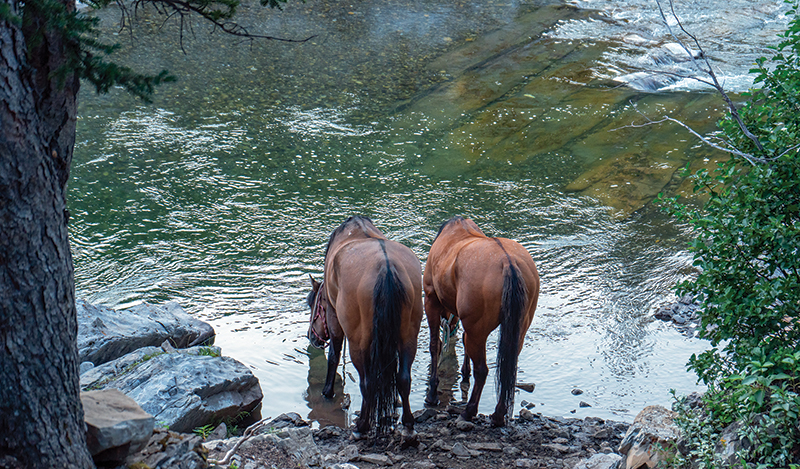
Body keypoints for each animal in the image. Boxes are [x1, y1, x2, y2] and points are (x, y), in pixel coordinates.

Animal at [307, 216, 423, 438]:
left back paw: (362, 425)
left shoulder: (334, 316)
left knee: (367, 382)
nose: (311, 336)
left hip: (358, 342)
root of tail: (387, 266)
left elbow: (334, 355)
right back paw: (408, 421)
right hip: (408, 336)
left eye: (311, 304)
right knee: (403, 378)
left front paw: (327, 391)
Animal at [423, 216, 540, 427]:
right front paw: (464, 372)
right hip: (519, 327)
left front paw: (433, 393)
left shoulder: (431, 298)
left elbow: (435, 345)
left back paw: (469, 411)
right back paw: (498, 414)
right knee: (508, 368)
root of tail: (509, 263)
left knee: (483, 370)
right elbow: (461, 341)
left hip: (478, 329)